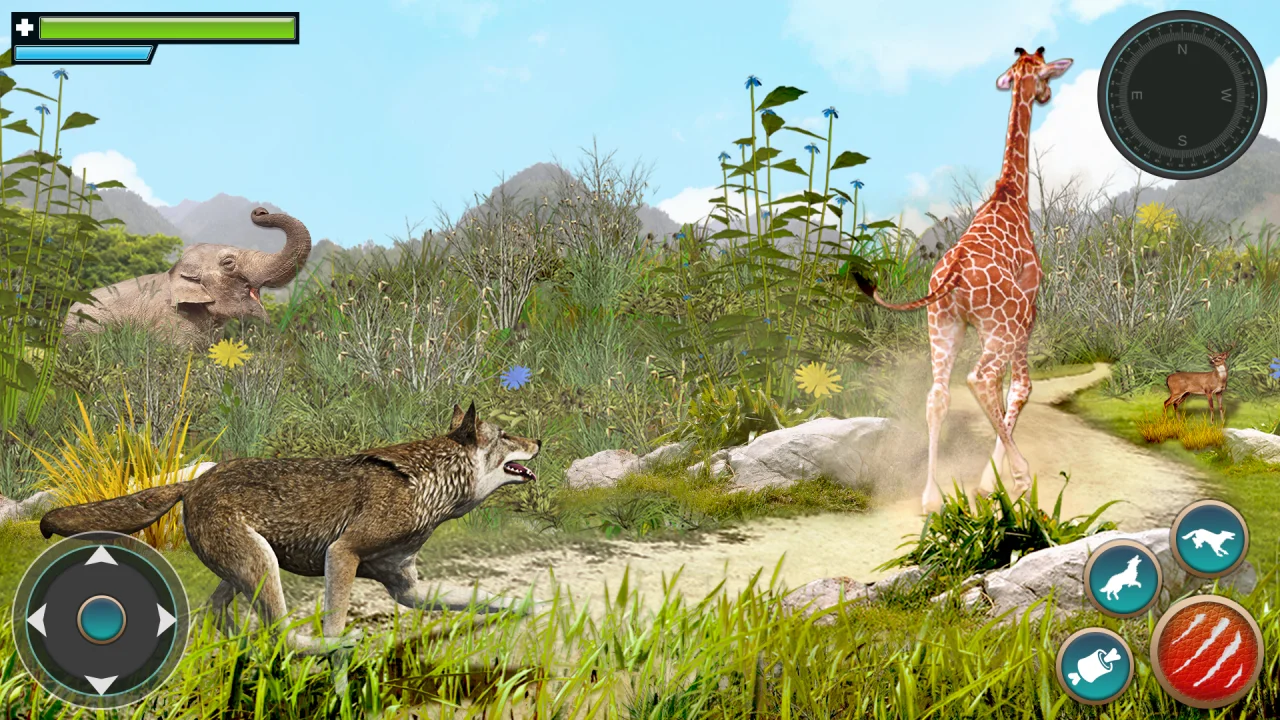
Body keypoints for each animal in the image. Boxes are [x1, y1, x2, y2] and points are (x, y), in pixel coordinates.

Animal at [39, 402, 540, 654]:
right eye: (506, 437)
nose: (539, 439)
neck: (429, 486)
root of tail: (195, 480)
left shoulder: (406, 588)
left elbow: (484, 597)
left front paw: (534, 608)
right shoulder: (342, 554)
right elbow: (335, 622)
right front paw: (341, 654)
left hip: (245, 571)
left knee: (220, 615)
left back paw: (241, 650)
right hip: (262, 567)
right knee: (278, 632)